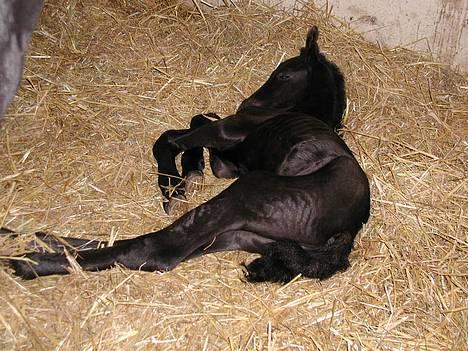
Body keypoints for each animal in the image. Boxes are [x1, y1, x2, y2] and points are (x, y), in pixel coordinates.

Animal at [3, 26, 370, 284]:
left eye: (283, 74)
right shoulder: (228, 162)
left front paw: (176, 185)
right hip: (243, 233)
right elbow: (195, 125)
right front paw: (188, 176)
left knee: (155, 250)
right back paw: (27, 239)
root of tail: (347, 231)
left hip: (245, 197)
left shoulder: (228, 132)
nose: (248, 104)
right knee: (171, 249)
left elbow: (173, 137)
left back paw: (30, 260)